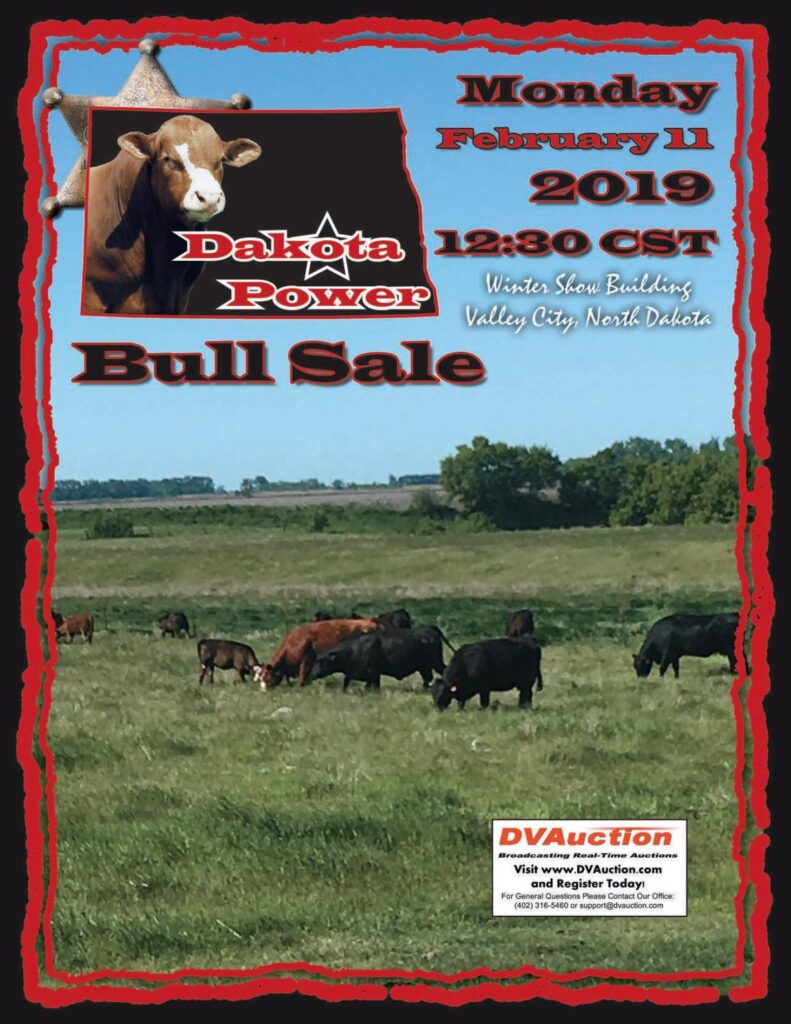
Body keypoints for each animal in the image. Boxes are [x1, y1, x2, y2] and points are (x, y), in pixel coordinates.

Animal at [309, 626, 455, 691]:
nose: (312, 674)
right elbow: (347, 681)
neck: (353, 650)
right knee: (429, 677)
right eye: (315, 660)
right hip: (426, 666)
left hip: (432, 663)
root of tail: (429, 629)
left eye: (321, 661)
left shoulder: (372, 673)